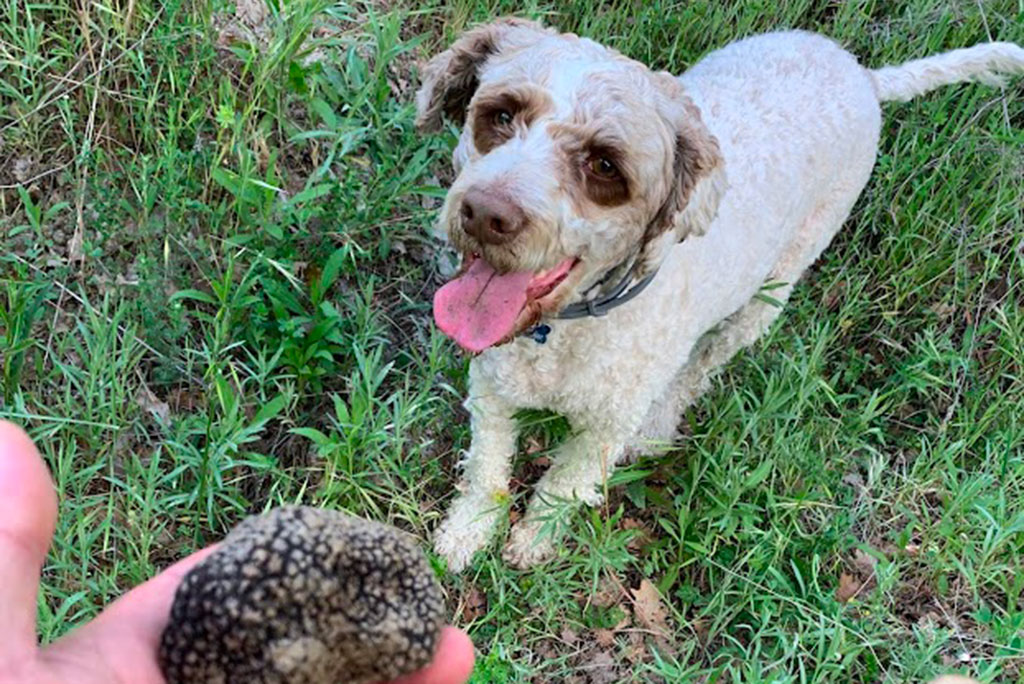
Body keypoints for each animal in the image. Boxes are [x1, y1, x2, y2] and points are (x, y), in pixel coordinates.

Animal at [415, 18, 1024, 569]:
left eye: (605, 165)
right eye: (500, 115)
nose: (485, 213)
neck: (565, 328)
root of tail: (862, 73)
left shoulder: (605, 429)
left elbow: (565, 486)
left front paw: (534, 541)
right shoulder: (492, 388)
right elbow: (486, 470)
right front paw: (467, 533)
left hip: (768, 295)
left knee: (702, 367)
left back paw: (659, 426)